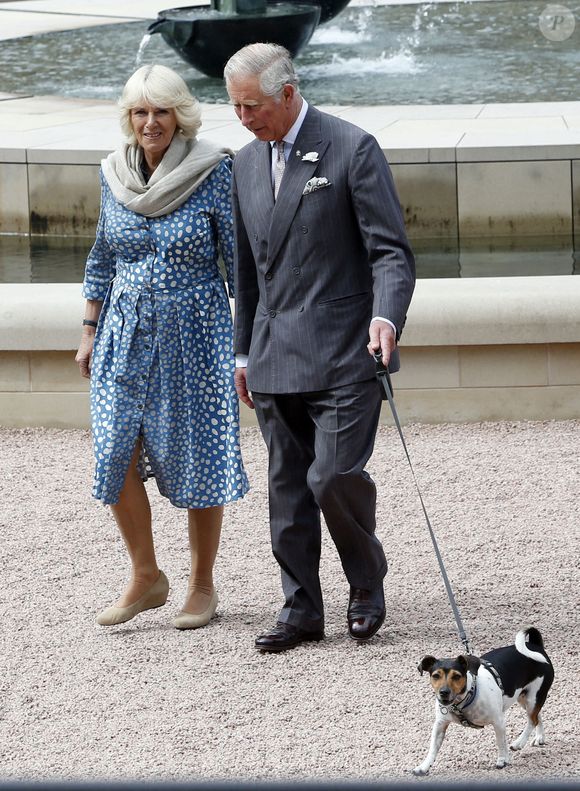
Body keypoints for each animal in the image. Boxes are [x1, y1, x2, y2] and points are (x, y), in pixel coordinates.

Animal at [412, 628, 552, 776]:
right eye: (435, 676)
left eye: (456, 676)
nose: (444, 692)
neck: (465, 700)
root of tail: (536, 645)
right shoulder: (440, 725)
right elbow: (433, 748)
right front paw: (423, 767)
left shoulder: (498, 721)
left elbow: (501, 742)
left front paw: (503, 760)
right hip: (524, 698)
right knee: (537, 716)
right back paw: (539, 737)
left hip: (533, 697)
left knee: (532, 720)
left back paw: (519, 743)